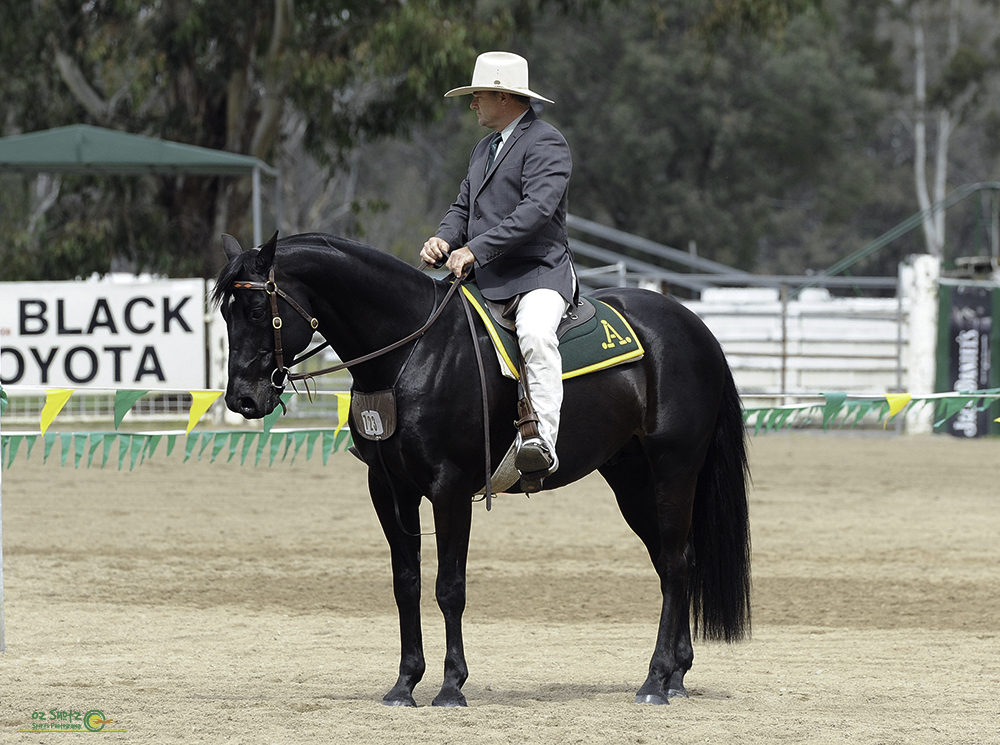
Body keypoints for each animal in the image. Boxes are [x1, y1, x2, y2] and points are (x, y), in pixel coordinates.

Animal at [214, 231, 751, 707]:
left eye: (257, 310)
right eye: (224, 312)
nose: (242, 400)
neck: (411, 352)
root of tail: (695, 326)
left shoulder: (449, 489)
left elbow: (449, 588)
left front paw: (451, 686)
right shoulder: (389, 490)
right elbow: (406, 584)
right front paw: (405, 685)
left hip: (673, 470)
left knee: (676, 565)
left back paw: (655, 681)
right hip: (632, 480)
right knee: (674, 562)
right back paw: (676, 674)